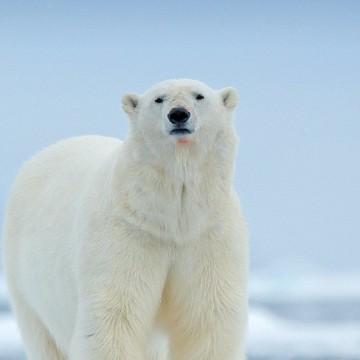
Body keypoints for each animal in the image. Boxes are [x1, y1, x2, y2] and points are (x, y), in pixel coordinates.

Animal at [2, 79, 249, 360]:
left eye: (199, 96)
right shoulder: (127, 232)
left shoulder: (207, 234)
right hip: (27, 287)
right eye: (158, 99)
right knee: (44, 339)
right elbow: (114, 313)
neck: (172, 216)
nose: (178, 114)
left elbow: (209, 314)